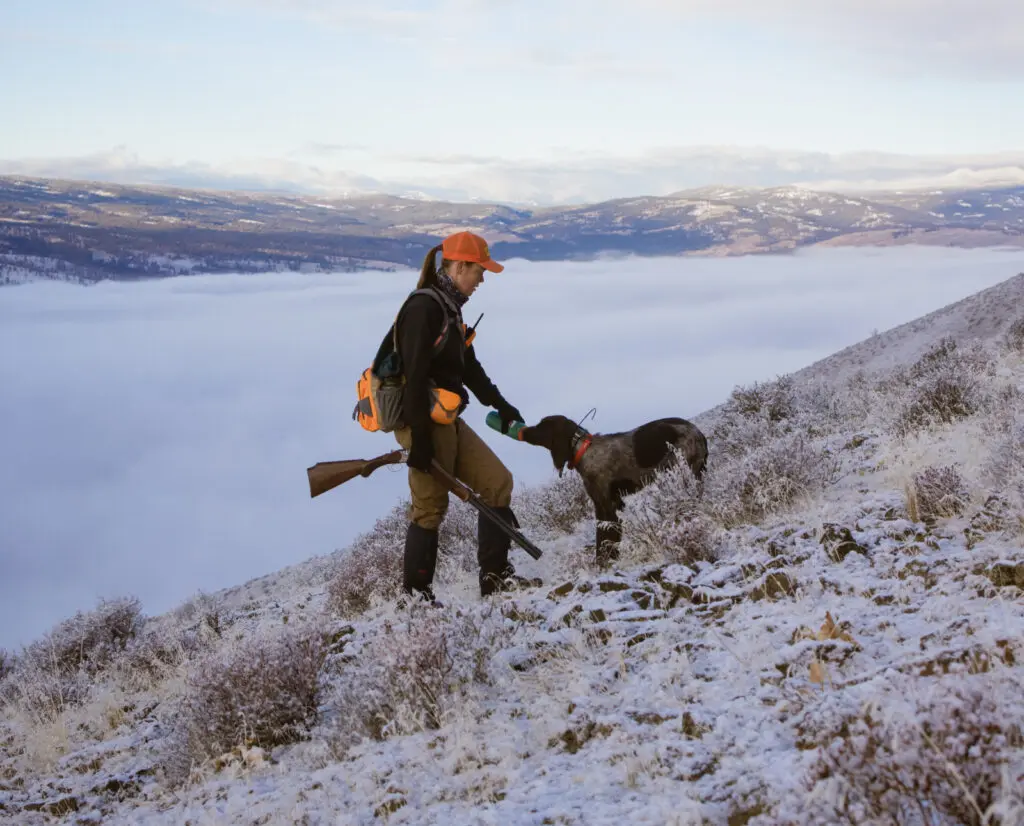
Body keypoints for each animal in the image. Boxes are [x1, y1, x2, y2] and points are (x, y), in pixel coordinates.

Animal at [520, 413, 704, 569]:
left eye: (542, 426)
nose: (524, 430)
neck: (583, 450)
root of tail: (697, 432)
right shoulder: (608, 503)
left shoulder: (607, 505)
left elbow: (604, 538)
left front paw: (604, 562)